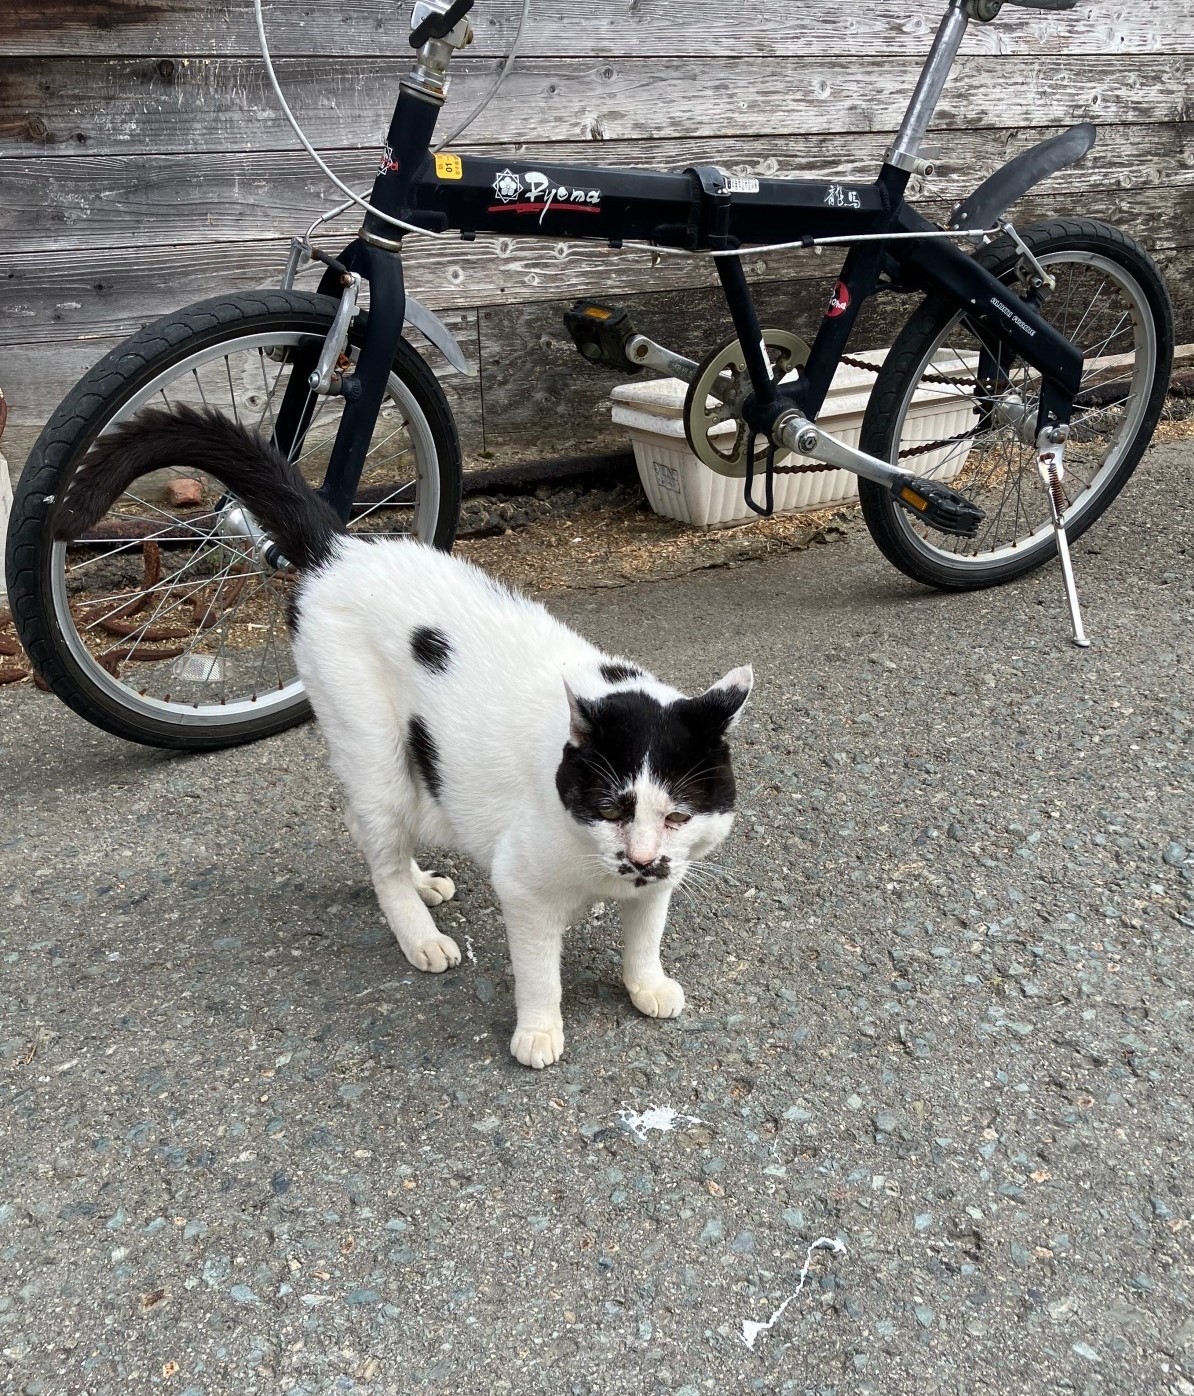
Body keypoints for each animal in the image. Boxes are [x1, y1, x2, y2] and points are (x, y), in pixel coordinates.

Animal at [60, 410, 754, 1066]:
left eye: (677, 816)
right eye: (611, 808)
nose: (641, 858)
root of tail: (342, 548)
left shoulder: (665, 877)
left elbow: (645, 935)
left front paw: (646, 985)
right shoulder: (523, 890)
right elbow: (538, 973)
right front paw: (538, 1032)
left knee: (371, 828)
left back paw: (422, 882)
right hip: (375, 750)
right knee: (380, 845)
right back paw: (419, 933)